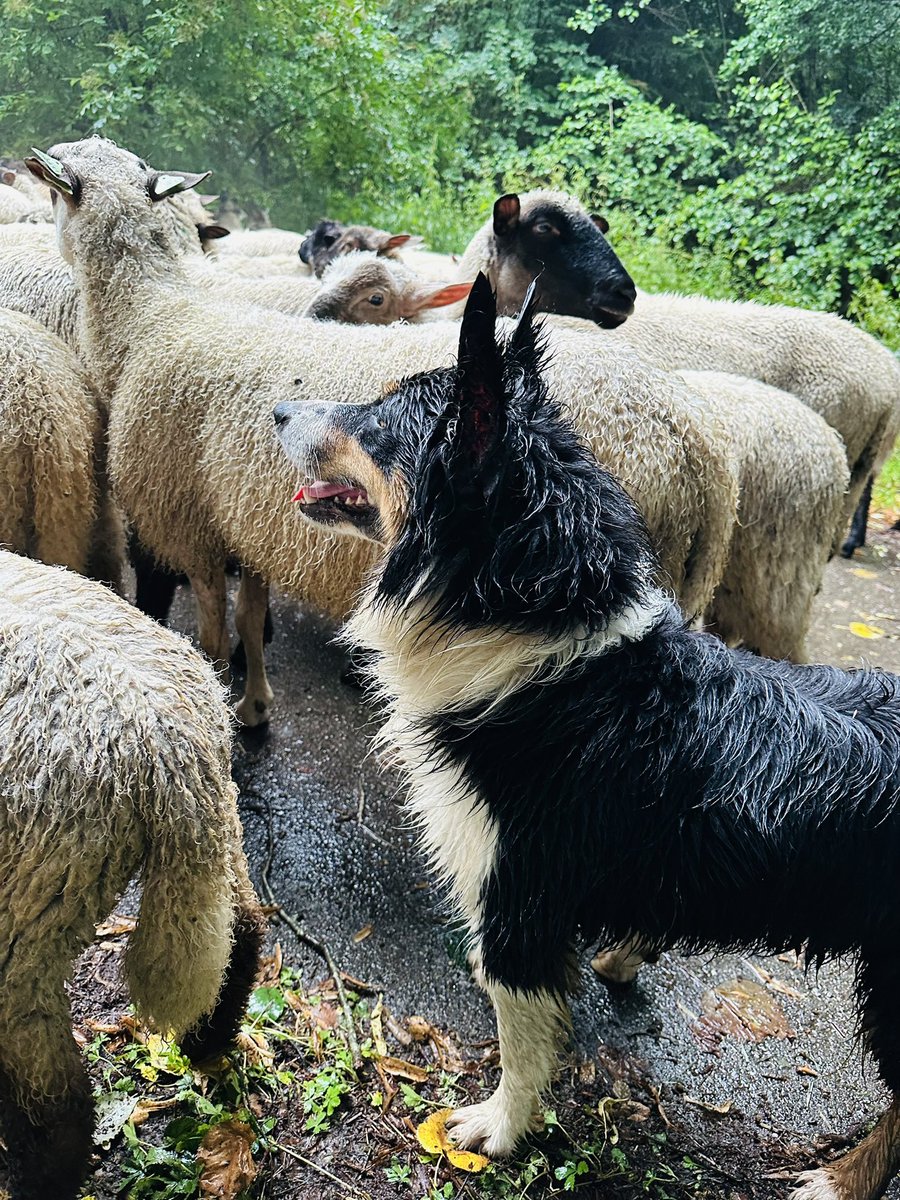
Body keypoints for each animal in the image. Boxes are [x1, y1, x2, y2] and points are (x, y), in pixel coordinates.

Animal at [0, 550, 265, 1200]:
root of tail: (165, 738)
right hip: (220, 825)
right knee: (242, 926)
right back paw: (209, 1038)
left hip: (25, 914)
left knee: (57, 1103)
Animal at [28, 138, 736, 729]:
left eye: (67, 183)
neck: (155, 312)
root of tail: (696, 442)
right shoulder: (244, 522)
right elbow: (251, 616)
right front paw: (255, 703)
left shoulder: (190, 527)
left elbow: (209, 635)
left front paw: (231, 706)